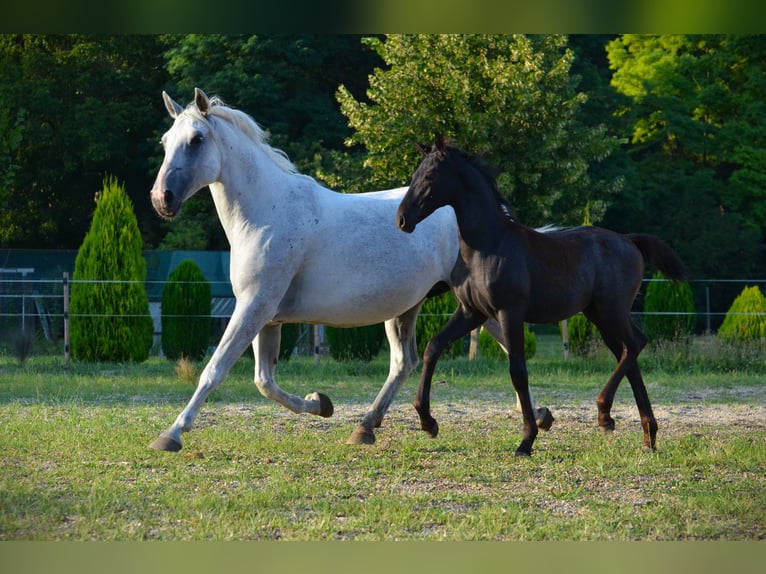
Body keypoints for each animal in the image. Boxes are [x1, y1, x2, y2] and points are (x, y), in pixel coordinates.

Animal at [147, 88, 552, 452]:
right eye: (166, 141)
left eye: (197, 139)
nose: (161, 199)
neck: (267, 213)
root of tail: (496, 216)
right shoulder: (268, 317)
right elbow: (265, 382)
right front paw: (321, 404)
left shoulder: (254, 307)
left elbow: (214, 370)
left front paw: (171, 434)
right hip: (416, 305)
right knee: (407, 361)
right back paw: (367, 427)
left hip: (468, 301)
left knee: (498, 350)